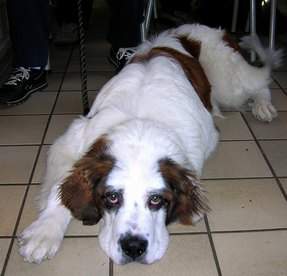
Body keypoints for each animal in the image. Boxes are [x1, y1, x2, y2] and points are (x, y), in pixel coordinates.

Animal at [18, 24, 282, 264]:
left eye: (156, 200)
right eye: (112, 197)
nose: (133, 247)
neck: (141, 123)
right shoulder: (74, 140)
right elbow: (58, 188)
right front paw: (44, 231)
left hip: (228, 81)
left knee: (261, 81)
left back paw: (263, 106)